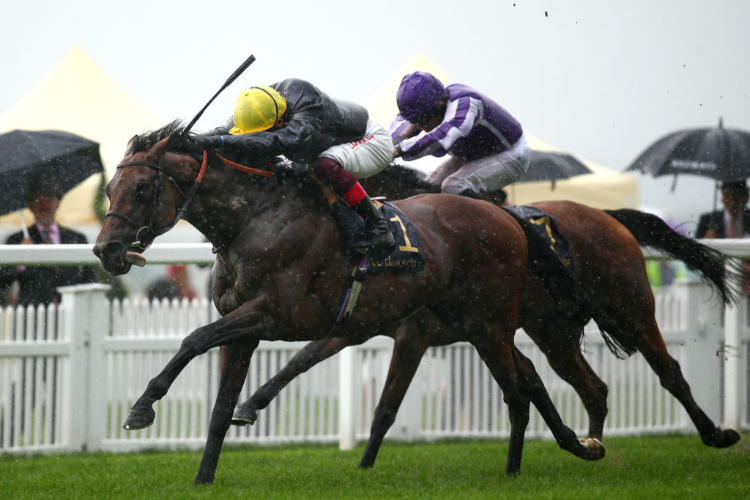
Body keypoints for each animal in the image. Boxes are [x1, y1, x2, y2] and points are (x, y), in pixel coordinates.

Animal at [92, 125, 612, 484]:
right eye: (109, 190)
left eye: (142, 188)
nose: (105, 251)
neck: (254, 218)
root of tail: (502, 214)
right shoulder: (247, 327)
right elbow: (220, 406)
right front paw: (203, 477)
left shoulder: (270, 313)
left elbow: (193, 338)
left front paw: (141, 408)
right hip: (475, 325)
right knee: (528, 379)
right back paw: (578, 444)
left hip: (490, 323)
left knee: (518, 392)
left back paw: (522, 468)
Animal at [232, 163, 744, 468]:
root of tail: (610, 217)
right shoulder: (363, 324)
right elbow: (301, 361)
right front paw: (248, 405)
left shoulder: (417, 332)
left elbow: (387, 403)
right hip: (554, 330)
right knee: (593, 387)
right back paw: (594, 442)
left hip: (631, 309)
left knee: (669, 371)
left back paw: (715, 434)